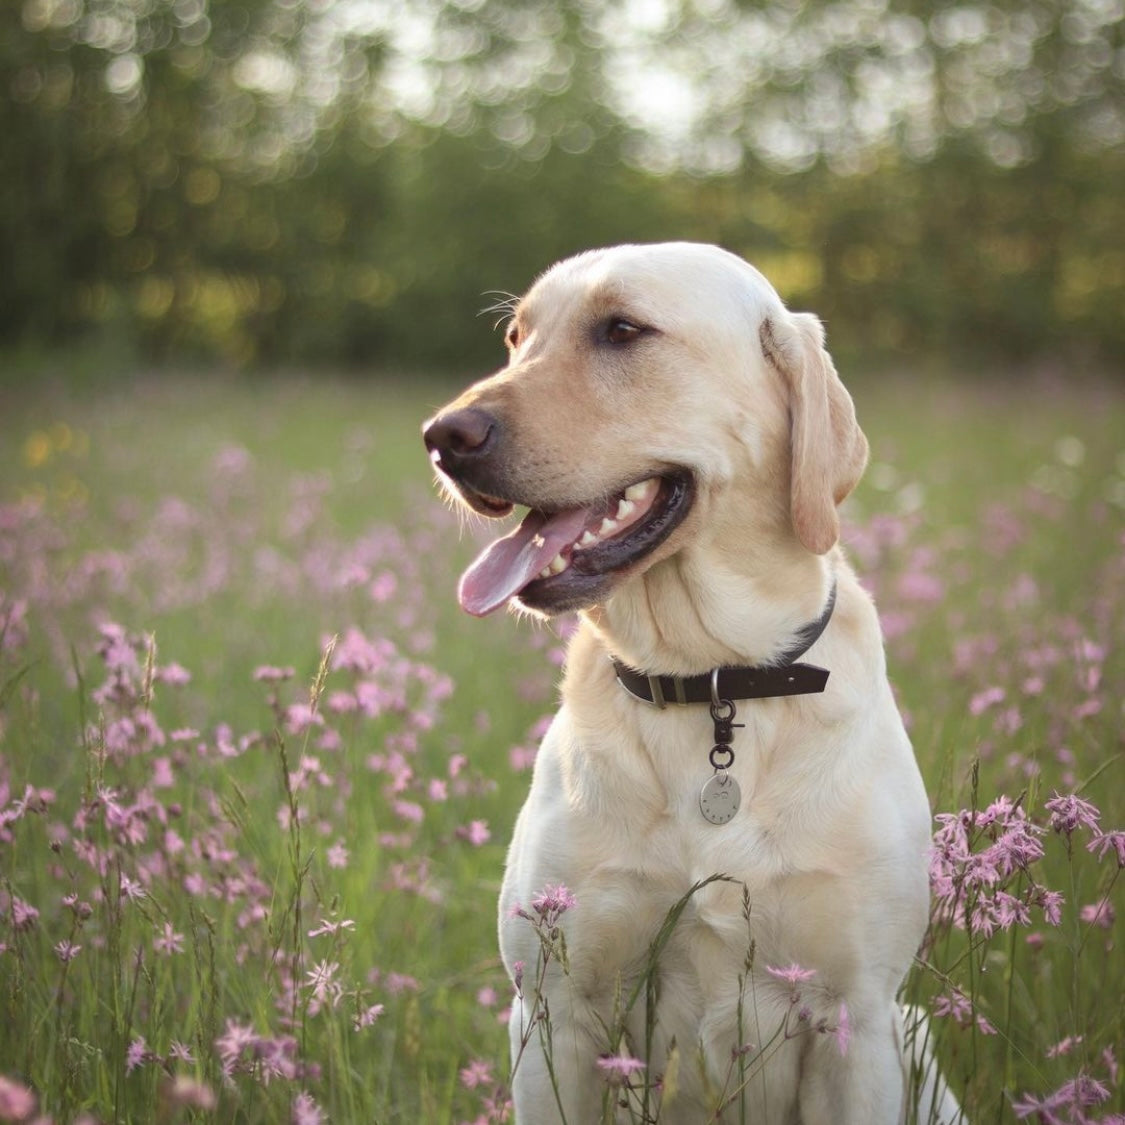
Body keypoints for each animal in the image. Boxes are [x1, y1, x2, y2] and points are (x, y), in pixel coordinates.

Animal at [423, 246, 958, 1125]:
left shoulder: (857, 1020)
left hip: (910, 1038)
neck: (707, 677)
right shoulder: (554, 1009)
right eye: (515, 336)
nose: (441, 436)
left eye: (622, 330)